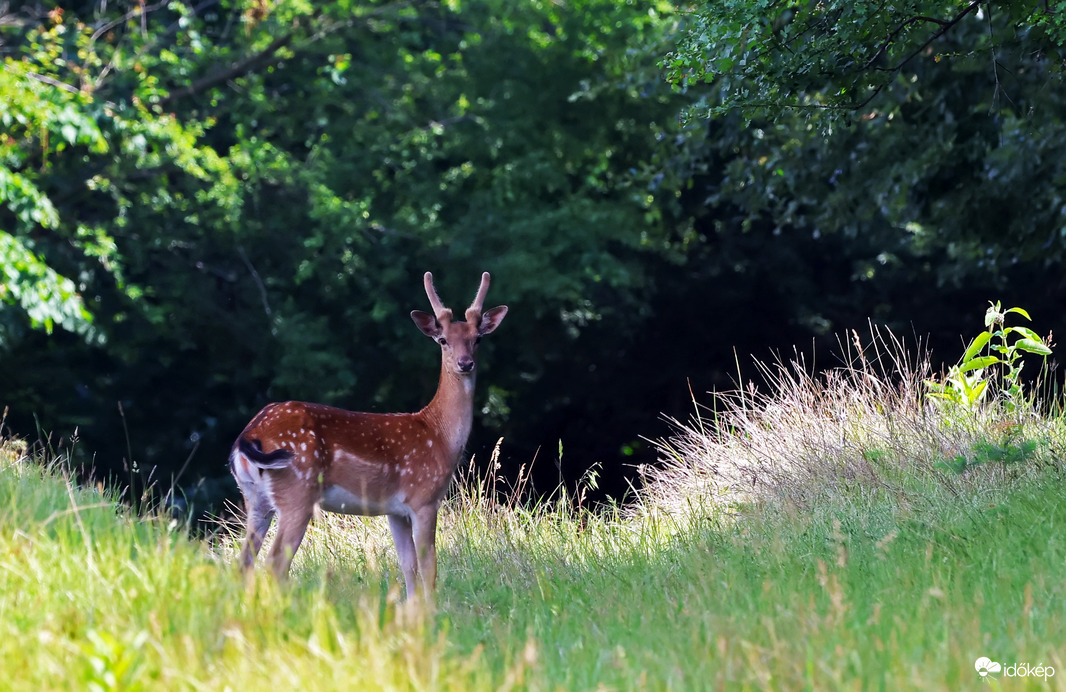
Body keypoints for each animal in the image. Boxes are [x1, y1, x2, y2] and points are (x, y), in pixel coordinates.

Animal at [225, 272, 507, 601]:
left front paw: (412, 610)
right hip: (297, 490)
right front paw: (431, 610)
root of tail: (249, 435)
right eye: (443, 340)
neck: (439, 435)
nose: (465, 363)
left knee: (243, 563)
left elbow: (408, 566)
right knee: (275, 564)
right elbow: (429, 567)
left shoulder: (395, 510)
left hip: (254, 498)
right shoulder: (423, 497)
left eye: (478, 338)